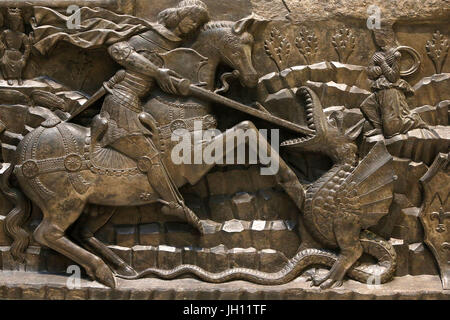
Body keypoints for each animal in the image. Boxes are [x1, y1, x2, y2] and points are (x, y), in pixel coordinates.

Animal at [1, 16, 306, 288]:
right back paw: (104, 271)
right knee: (47, 234)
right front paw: (297, 189)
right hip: (64, 203)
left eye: (251, 45)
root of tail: (18, 157)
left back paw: (123, 268)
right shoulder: (195, 160)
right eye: (234, 46)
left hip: (106, 200)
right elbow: (247, 127)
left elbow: (249, 130)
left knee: (82, 232)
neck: (181, 104)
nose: (252, 78)